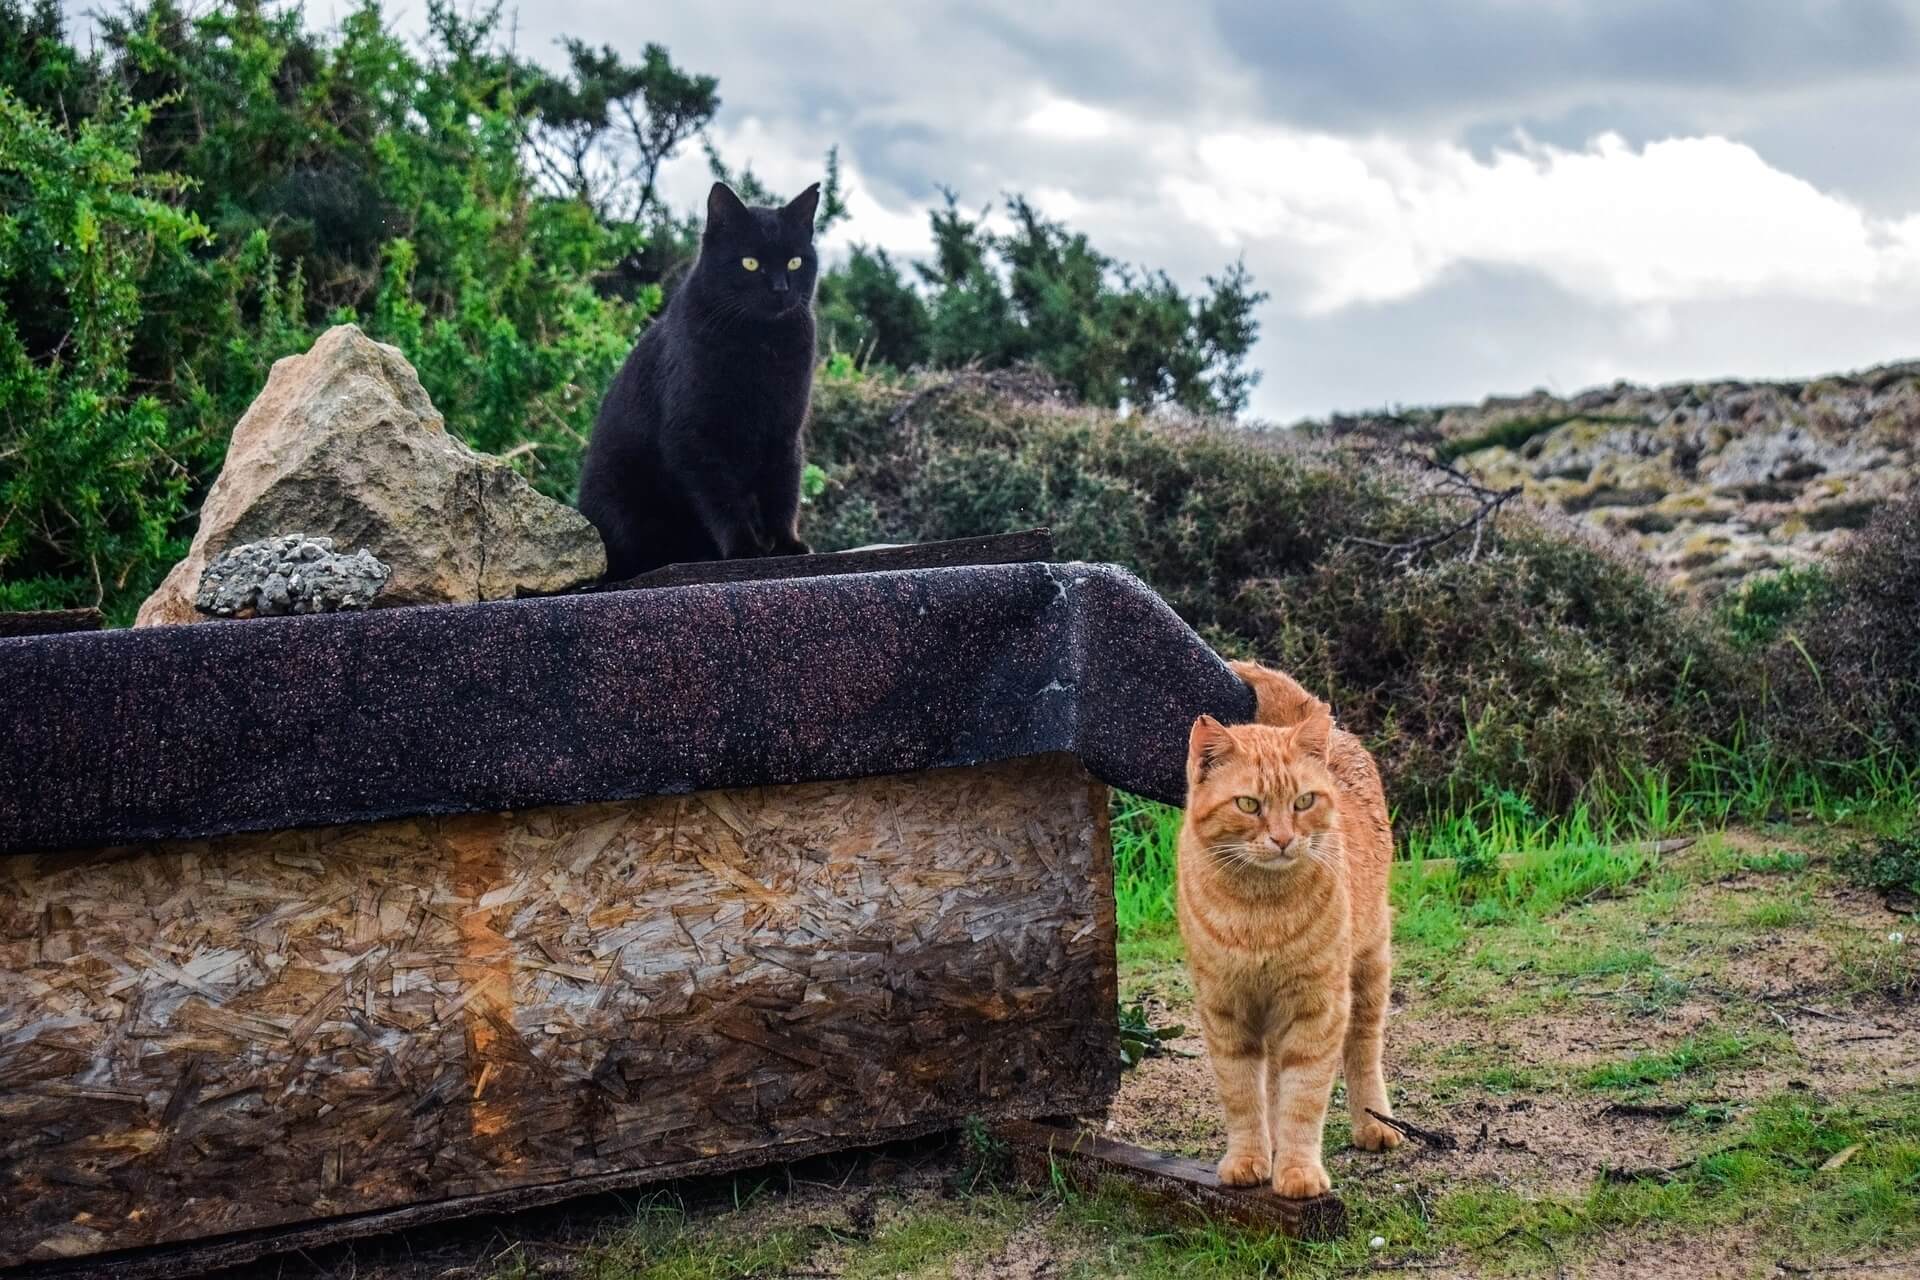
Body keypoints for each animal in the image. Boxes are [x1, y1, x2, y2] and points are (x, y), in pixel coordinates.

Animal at [583, 180, 825, 579]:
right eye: (749, 263)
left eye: (795, 261)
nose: (780, 289)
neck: (759, 342)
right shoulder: (694, 436)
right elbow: (724, 500)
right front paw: (745, 549)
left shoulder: (785, 432)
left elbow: (783, 490)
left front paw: (786, 544)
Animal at [1167, 660, 1397, 1205]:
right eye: (1249, 805)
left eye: (1304, 801)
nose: (1284, 839)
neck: (1260, 911)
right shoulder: (1227, 1011)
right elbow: (1243, 1095)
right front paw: (1250, 1160)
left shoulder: (1317, 1009)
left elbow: (1303, 1099)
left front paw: (1297, 1172)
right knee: (1271, 1078)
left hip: (1369, 967)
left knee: (1364, 1049)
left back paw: (1374, 1124)